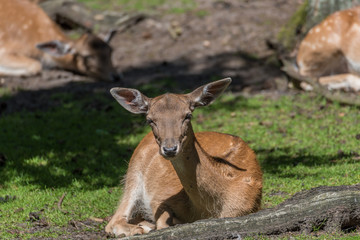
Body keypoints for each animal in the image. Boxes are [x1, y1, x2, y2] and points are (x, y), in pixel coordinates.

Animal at [105, 78, 262, 236]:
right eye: (150, 120)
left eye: (188, 115)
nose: (169, 149)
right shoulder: (160, 199)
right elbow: (162, 224)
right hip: (133, 171)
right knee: (113, 221)